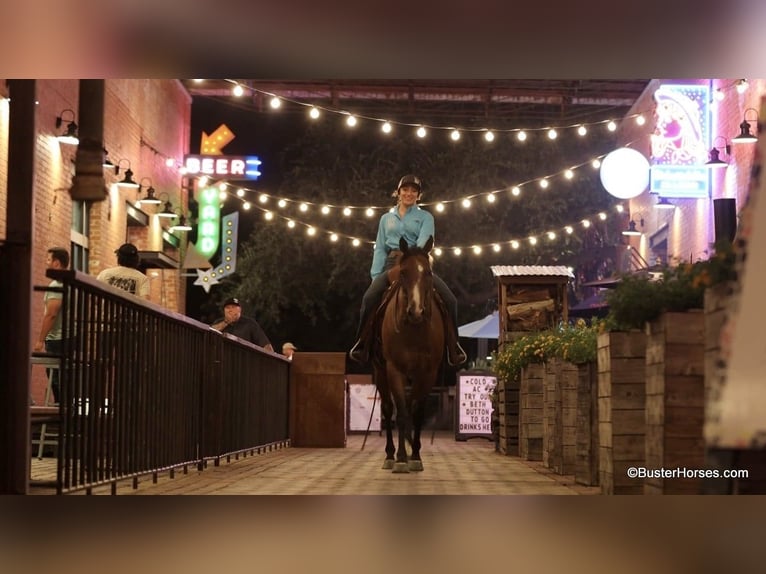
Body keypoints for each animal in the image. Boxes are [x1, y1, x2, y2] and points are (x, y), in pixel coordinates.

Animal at [372, 236, 444, 474]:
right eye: (404, 273)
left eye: (428, 272)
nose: (416, 312)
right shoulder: (395, 369)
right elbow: (402, 412)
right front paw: (402, 458)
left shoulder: (428, 372)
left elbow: (417, 412)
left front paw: (416, 456)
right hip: (380, 371)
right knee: (388, 409)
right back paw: (390, 455)